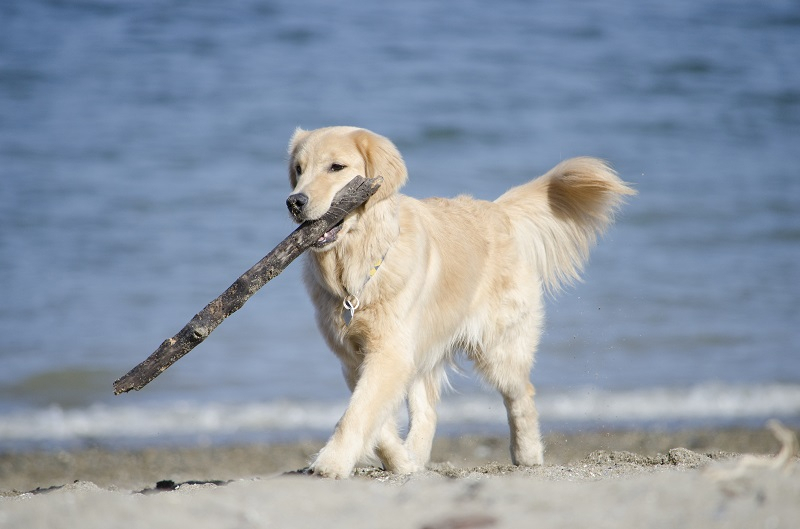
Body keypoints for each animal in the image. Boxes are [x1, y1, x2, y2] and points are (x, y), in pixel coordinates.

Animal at [284, 126, 636, 476]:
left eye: (337, 167)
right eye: (299, 170)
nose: (294, 201)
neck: (355, 271)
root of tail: (498, 210)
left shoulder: (390, 352)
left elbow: (358, 412)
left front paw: (330, 462)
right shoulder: (355, 358)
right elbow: (374, 417)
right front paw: (399, 459)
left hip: (497, 346)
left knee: (521, 394)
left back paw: (527, 453)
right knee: (428, 411)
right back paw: (413, 457)